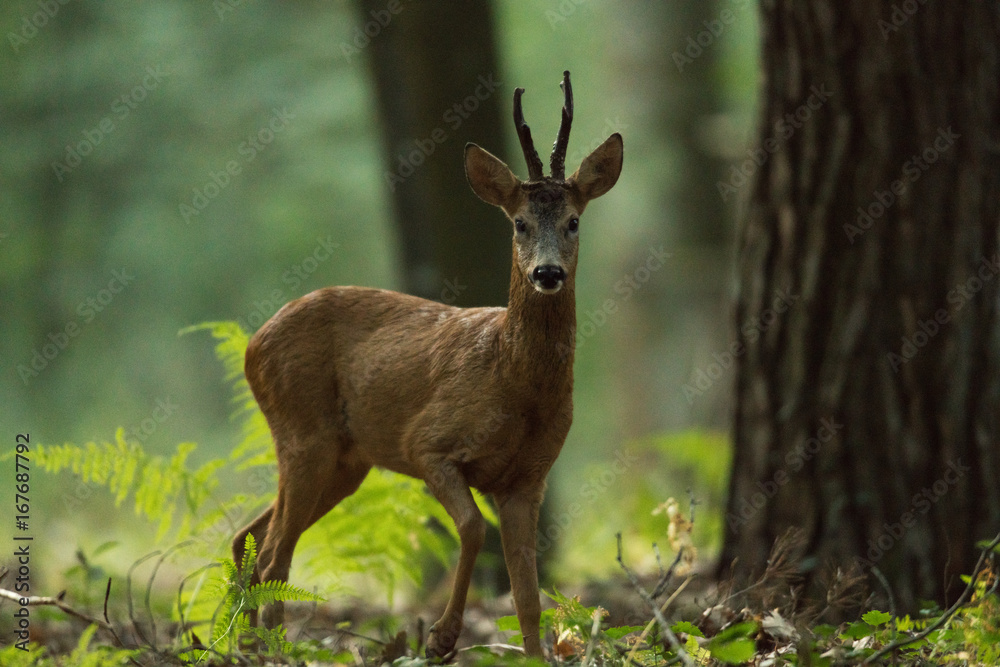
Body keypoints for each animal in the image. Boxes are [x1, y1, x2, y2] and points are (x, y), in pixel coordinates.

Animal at [236, 72, 624, 656]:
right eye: (519, 223)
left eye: (574, 221)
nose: (548, 273)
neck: (516, 385)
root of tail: (253, 345)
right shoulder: (428, 444)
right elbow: (472, 530)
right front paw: (440, 637)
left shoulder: (528, 478)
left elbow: (528, 596)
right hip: (304, 431)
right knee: (272, 551)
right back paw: (273, 649)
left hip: (347, 460)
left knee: (251, 536)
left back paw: (242, 645)